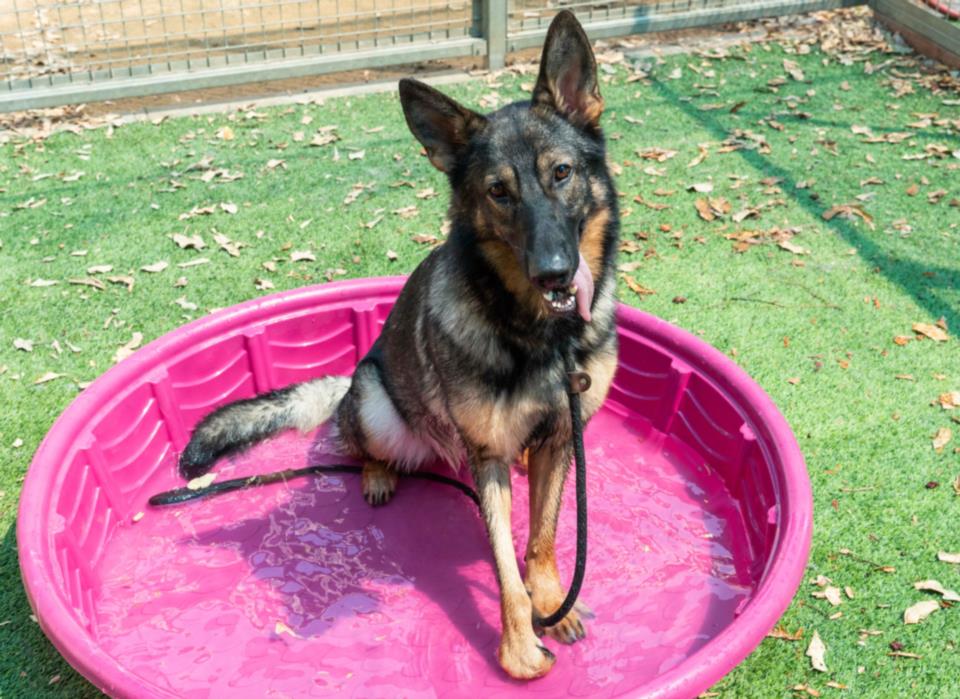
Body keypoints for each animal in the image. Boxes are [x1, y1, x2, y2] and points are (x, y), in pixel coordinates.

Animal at [176, 9, 620, 680]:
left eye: (562, 173)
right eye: (499, 192)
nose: (554, 274)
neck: (542, 335)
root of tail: (355, 376)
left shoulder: (561, 438)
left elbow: (540, 541)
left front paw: (552, 603)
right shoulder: (486, 459)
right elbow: (505, 570)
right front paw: (520, 648)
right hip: (380, 407)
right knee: (362, 445)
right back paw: (378, 473)